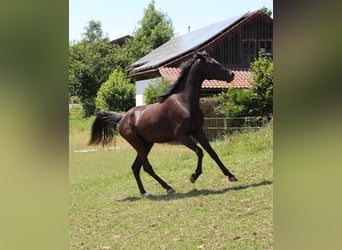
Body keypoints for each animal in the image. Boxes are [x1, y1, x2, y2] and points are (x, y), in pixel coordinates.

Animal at [88, 50, 238, 195]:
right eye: (212, 63)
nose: (231, 74)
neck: (184, 102)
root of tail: (122, 117)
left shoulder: (198, 131)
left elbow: (212, 153)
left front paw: (231, 176)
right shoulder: (181, 136)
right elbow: (199, 151)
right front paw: (193, 176)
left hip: (146, 144)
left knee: (136, 167)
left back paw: (145, 192)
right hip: (138, 144)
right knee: (146, 167)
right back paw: (168, 188)